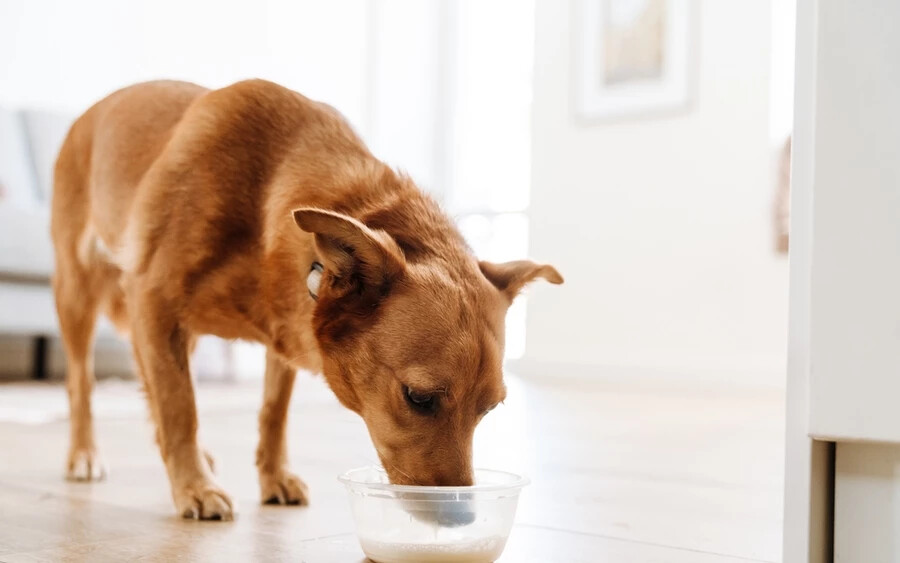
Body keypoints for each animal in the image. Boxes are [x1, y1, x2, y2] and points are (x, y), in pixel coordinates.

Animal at [51, 79, 564, 520]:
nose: (461, 518)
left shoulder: (281, 334)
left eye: (490, 409)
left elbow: (271, 414)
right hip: (78, 296)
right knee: (83, 384)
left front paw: (271, 476)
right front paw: (194, 487)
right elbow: (182, 409)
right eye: (418, 398)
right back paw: (84, 454)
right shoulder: (155, 303)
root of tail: (93, 111)